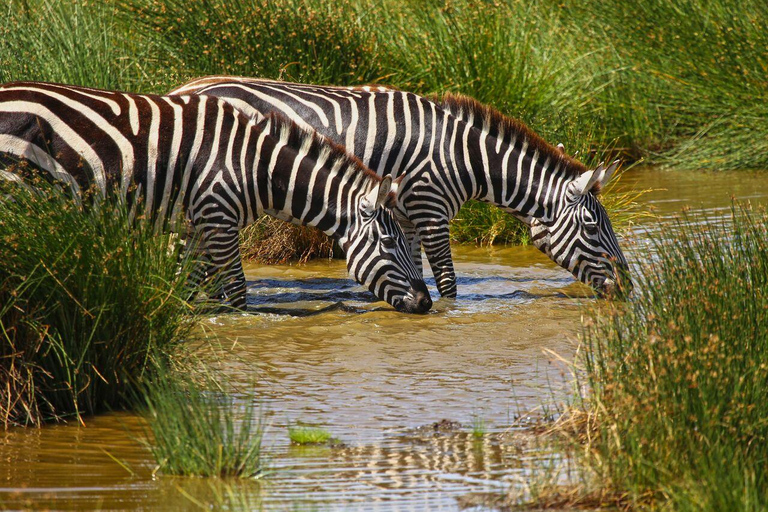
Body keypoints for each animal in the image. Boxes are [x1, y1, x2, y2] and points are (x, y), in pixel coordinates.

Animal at [0, 81, 432, 312]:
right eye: (390, 243)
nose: (427, 303)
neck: (255, 166)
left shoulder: (196, 226)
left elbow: (186, 287)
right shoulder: (218, 217)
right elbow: (237, 291)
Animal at [171, 78, 632, 298]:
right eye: (594, 227)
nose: (629, 289)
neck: (464, 157)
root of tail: (184, 88)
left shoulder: (407, 217)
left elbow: (415, 271)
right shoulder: (431, 209)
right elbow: (446, 280)